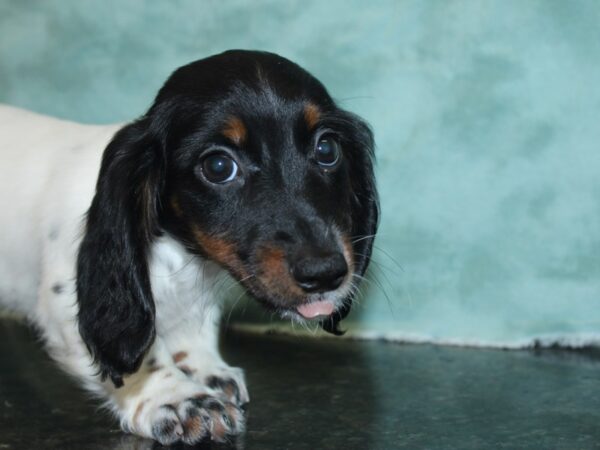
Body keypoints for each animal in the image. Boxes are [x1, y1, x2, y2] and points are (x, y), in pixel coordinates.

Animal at [0, 51, 378, 444]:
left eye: (327, 149)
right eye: (218, 166)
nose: (325, 274)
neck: (180, 255)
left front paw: (205, 368)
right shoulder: (65, 306)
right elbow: (143, 356)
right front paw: (178, 399)